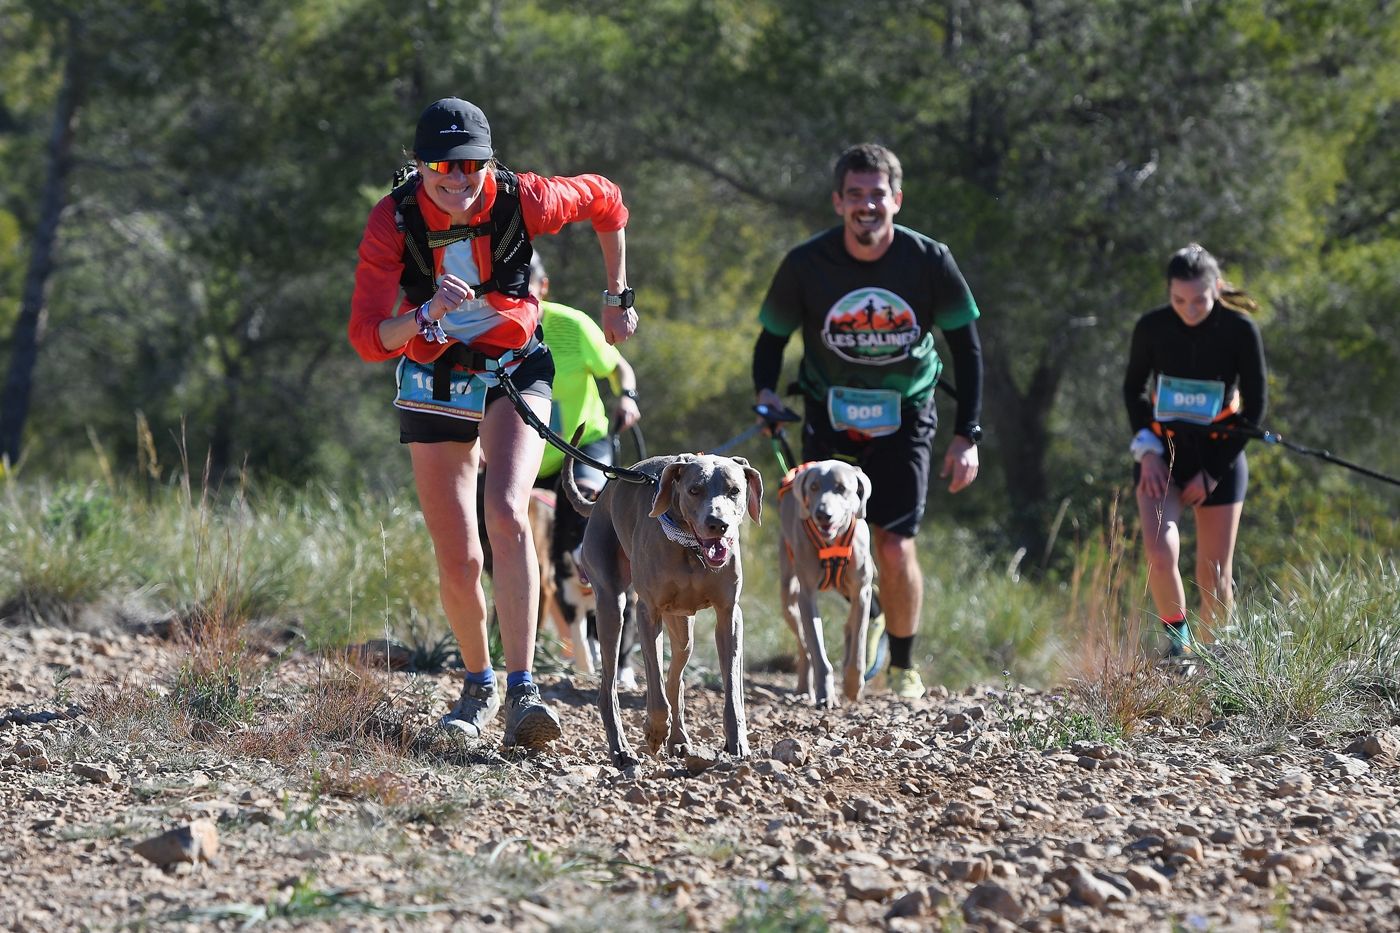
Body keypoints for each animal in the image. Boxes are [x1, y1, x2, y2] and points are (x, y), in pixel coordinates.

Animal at [562, 451, 767, 762]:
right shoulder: (648, 612)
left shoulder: (729, 614)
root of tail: (601, 497)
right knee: (609, 686)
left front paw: (737, 741)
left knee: (676, 677)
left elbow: (731, 686)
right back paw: (621, 748)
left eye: (735, 491)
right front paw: (655, 730)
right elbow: (655, 686)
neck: (691, 549)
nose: (717, 523)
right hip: (612, 605)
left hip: (682, 626)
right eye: (694, 490)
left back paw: (679, 738)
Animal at [778, 456, 873, 706]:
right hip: (788, 594)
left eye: (841, 488)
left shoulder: (862, 591)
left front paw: (852, 686)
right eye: (814, 487)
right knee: (805, 646)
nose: (823, 514)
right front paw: (825, 693)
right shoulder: (807, 595)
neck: (832, 543)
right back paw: (804, 688)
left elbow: (859, 644)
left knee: (849, 626)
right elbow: (818, 650)